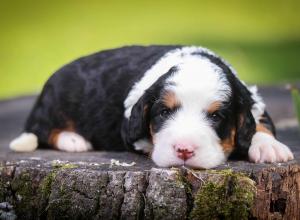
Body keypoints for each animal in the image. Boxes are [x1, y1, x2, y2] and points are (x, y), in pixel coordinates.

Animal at [9, 45, 292, 168]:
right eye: (164, 112)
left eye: (216, 116)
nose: (184, 150)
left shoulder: (252, 99)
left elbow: (260, 123)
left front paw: (270, 148)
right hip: (55, 102)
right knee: (43, 130)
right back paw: (73, 140)